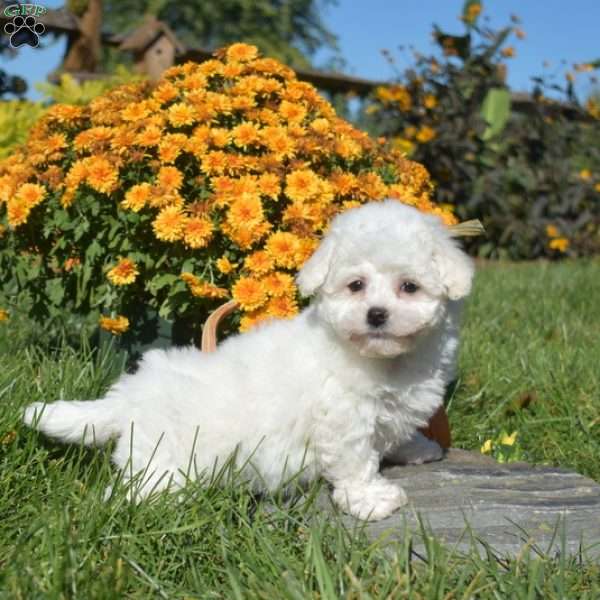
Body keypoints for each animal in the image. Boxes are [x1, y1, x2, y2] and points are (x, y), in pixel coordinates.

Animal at [23, 202, 474, 520]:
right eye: (356, 285)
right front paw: (372, 499)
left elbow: (396, 432)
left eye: (409, 287)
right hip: (166, 460)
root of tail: (128, 398)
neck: (383, 357)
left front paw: (417, 447)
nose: (376, 314)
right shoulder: (344, 418)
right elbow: (356, 460)